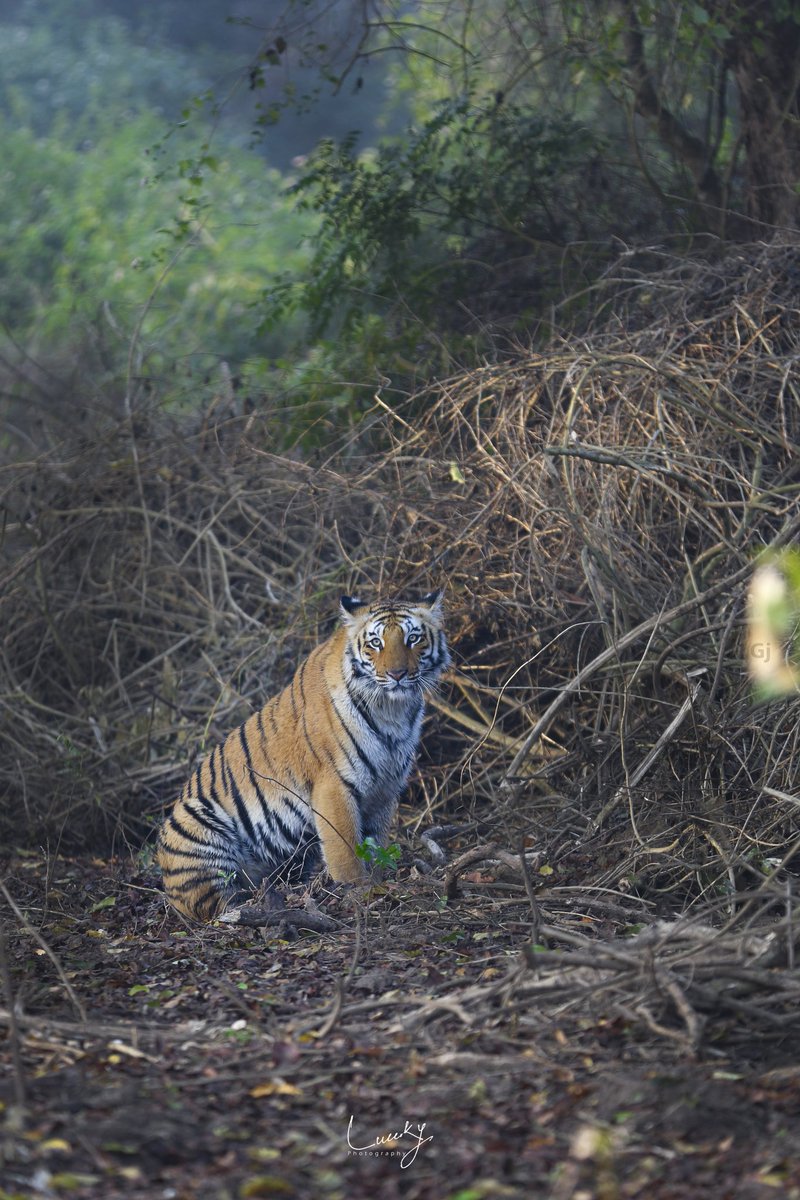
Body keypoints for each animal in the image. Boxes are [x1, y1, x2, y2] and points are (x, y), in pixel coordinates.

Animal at [156, 590, 449, 920]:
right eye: (376, 643)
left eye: (413, 638)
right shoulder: (333, 786)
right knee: (215, 906)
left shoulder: (385, 789)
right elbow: (345, 850)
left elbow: (375, 844)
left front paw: (377, 880)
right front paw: (359, 890)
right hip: (195, 827)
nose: (397, 674)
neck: (393, 710)